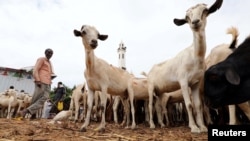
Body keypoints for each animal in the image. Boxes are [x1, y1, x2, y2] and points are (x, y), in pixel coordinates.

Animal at [146, 0, 223, 133]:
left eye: (205, 11)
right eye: (187, 17)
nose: (195, 22)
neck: (195, 55)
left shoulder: (196, 83)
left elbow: (198, 105)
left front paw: (202, 127)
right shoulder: (183, 81)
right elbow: (189, 105)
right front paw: (194, 127)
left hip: (160, 91)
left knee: (158, 106)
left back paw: (162, 124)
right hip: (151, 87)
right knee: (151, 106)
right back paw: (152, 125)